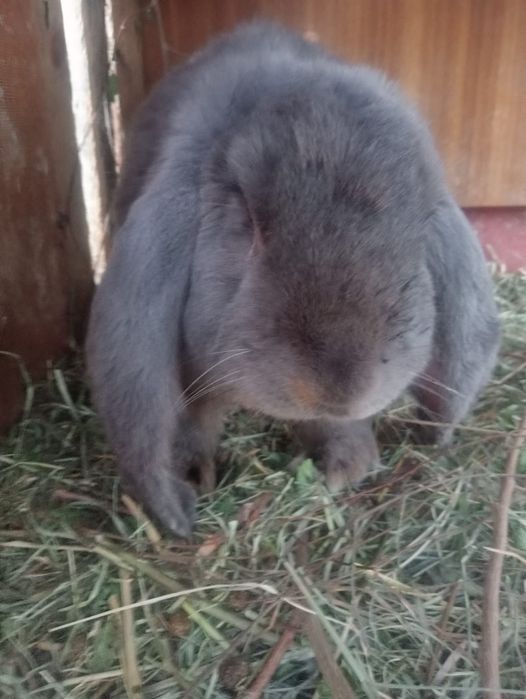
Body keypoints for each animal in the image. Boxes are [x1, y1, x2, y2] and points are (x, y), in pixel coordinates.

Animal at [86, 21, 500, 536]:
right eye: (248, 221)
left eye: (419, 224)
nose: (342, 388)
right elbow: (183, 420)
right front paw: (191, 489)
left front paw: (345, 469)